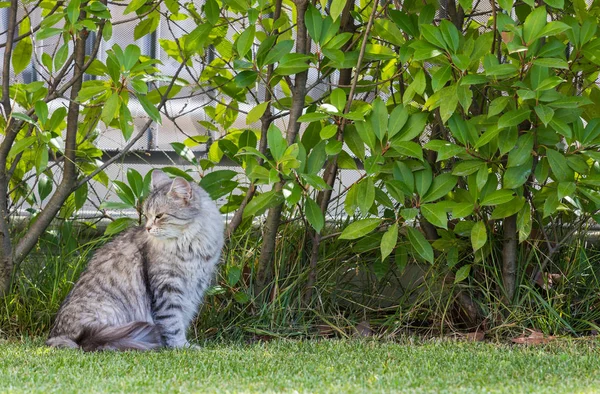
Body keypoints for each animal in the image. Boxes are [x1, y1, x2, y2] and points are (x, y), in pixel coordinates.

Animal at [47, 170, 225, 350]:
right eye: (147, 216)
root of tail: (57, 335)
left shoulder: (194, 288)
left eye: (159, 216)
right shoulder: (167, 288)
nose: (147, 228)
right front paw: (181, 346)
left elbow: (182, 318)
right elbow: (172, 323)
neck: (190, 245)